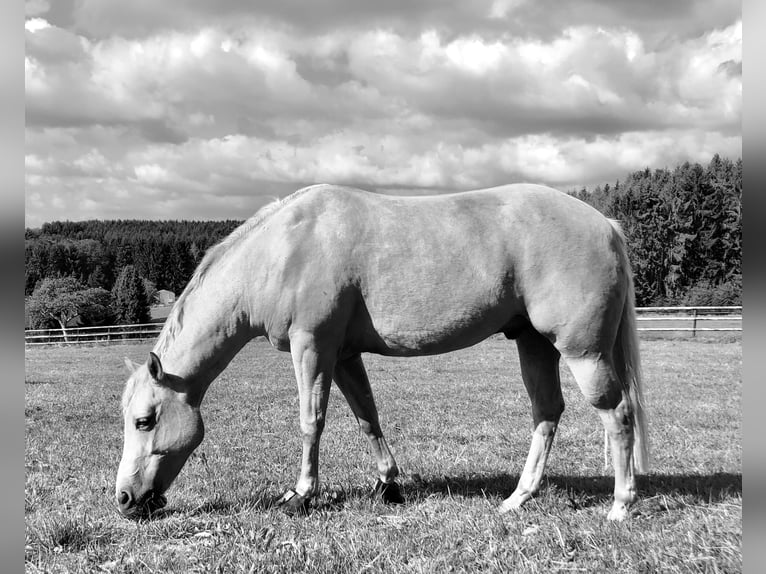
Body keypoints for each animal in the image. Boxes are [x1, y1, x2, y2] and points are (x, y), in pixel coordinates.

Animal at [116, 183, 649, 521]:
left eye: (144, 421)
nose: (124, 499)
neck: (281, 250)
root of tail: (605, 223)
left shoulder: (312, 347)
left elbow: (311, 422)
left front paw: (300, 496)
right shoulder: (343, 356)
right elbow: (366, 417)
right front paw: (388, 485)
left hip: (583, 352)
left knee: (617, 413)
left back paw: (621, 505)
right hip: (534, 344)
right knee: (547, 413)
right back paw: (518, 499)